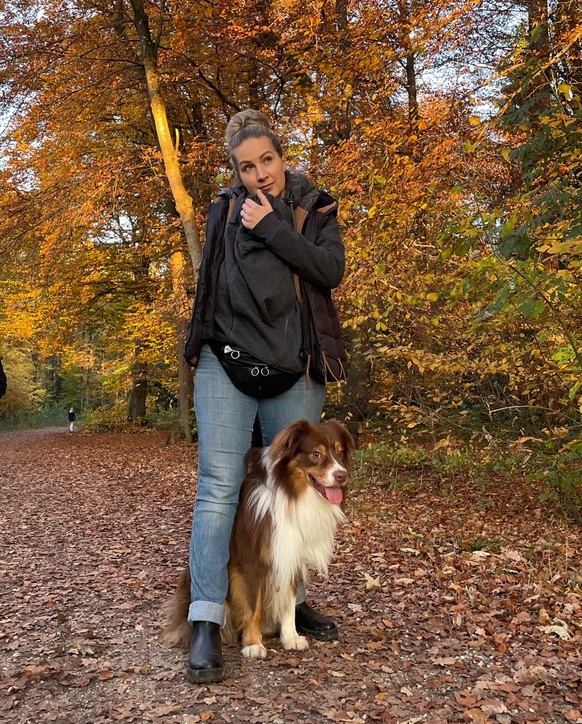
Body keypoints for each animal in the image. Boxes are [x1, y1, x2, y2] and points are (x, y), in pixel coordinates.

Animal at [164, 418, 356, 660]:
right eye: (316, 454)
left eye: (340, 453)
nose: (342, 475)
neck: (291, 493)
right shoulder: (251, 562)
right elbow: (252, 605)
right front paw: (253, 644)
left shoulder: (290, 553)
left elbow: (289, 602)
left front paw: (290, 637)